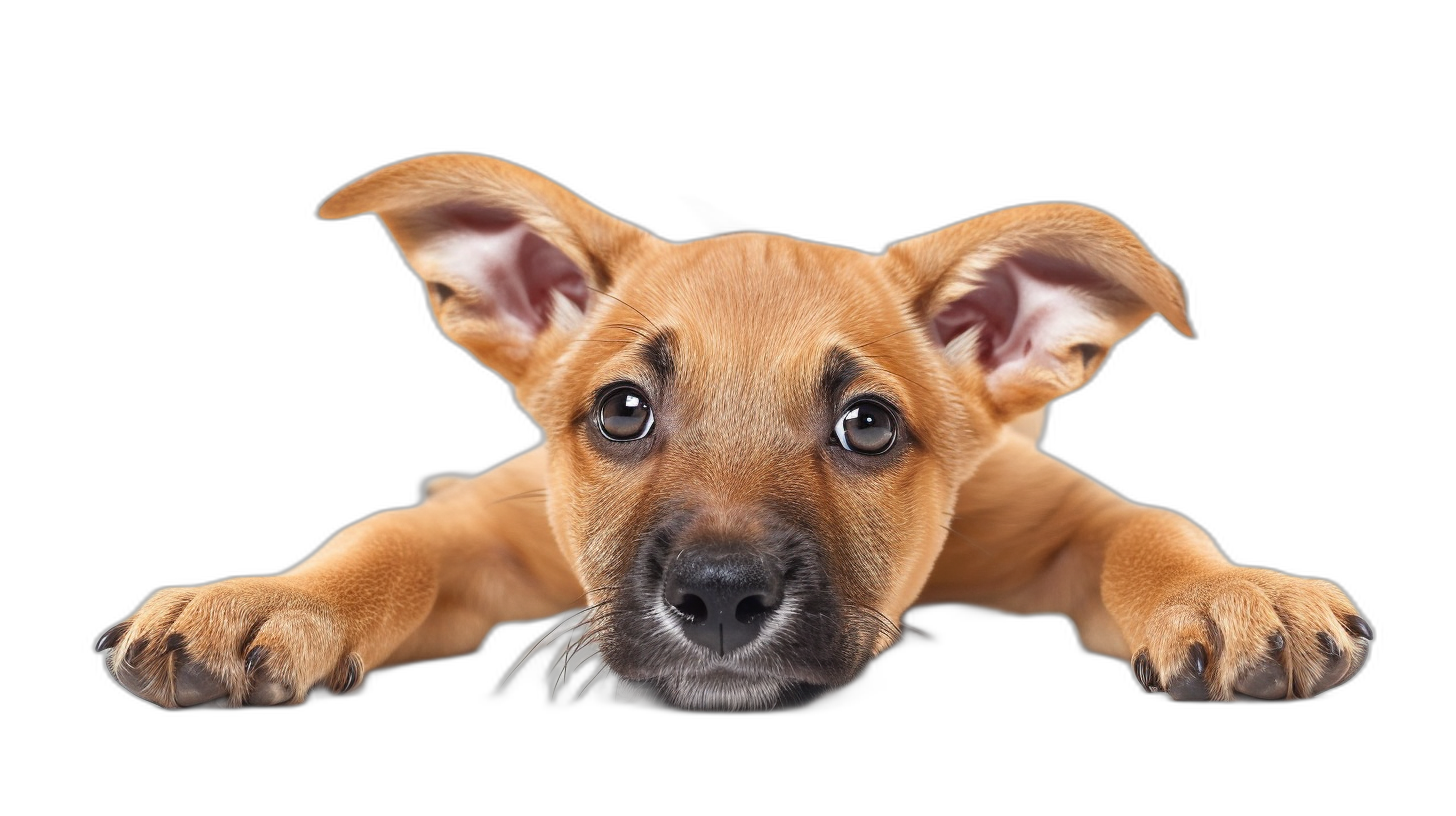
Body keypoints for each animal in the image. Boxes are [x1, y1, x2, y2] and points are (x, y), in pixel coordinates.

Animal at [96, 153, 1368, 714]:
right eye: (622, 410)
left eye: (866, 426)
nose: (717, 600)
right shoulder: (494, 533)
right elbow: (382, 542)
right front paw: (263, 601)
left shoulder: (1048, 511)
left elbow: (1149, 530)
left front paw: (1233, 593)